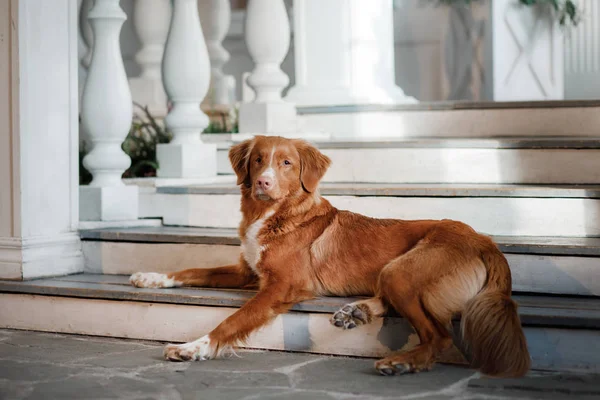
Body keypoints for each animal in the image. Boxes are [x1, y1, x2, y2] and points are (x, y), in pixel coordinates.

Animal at [130, 136, 528, 376]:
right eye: (258, 160)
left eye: (286, 163)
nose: (263, 182)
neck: (274, 215)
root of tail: (486, 241)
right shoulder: (248, 271)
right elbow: (192, 269)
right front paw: (150, 277)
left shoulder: (283, 287)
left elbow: (232, 321)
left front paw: (193, 347)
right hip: (393, 273)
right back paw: (356, 312)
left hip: (402, 270)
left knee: (439, 336)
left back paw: (400, 361)